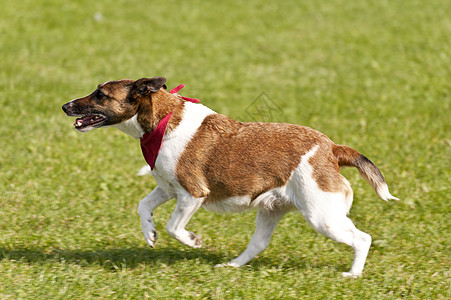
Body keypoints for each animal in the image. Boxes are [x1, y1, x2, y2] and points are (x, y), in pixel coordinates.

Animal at [61, 77, 398, 276]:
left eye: (100, 95)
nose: (65, 105)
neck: (163, 120)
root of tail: (332, 148)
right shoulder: (168, 188)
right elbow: (143, 206)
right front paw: (149, 234)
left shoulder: (192, 194)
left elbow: (174, 226)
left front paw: (192, 240)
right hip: (272, 209)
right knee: (258, 244)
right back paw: (232, 265)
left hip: (322, 216)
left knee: (362, 238)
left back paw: (353, 274)